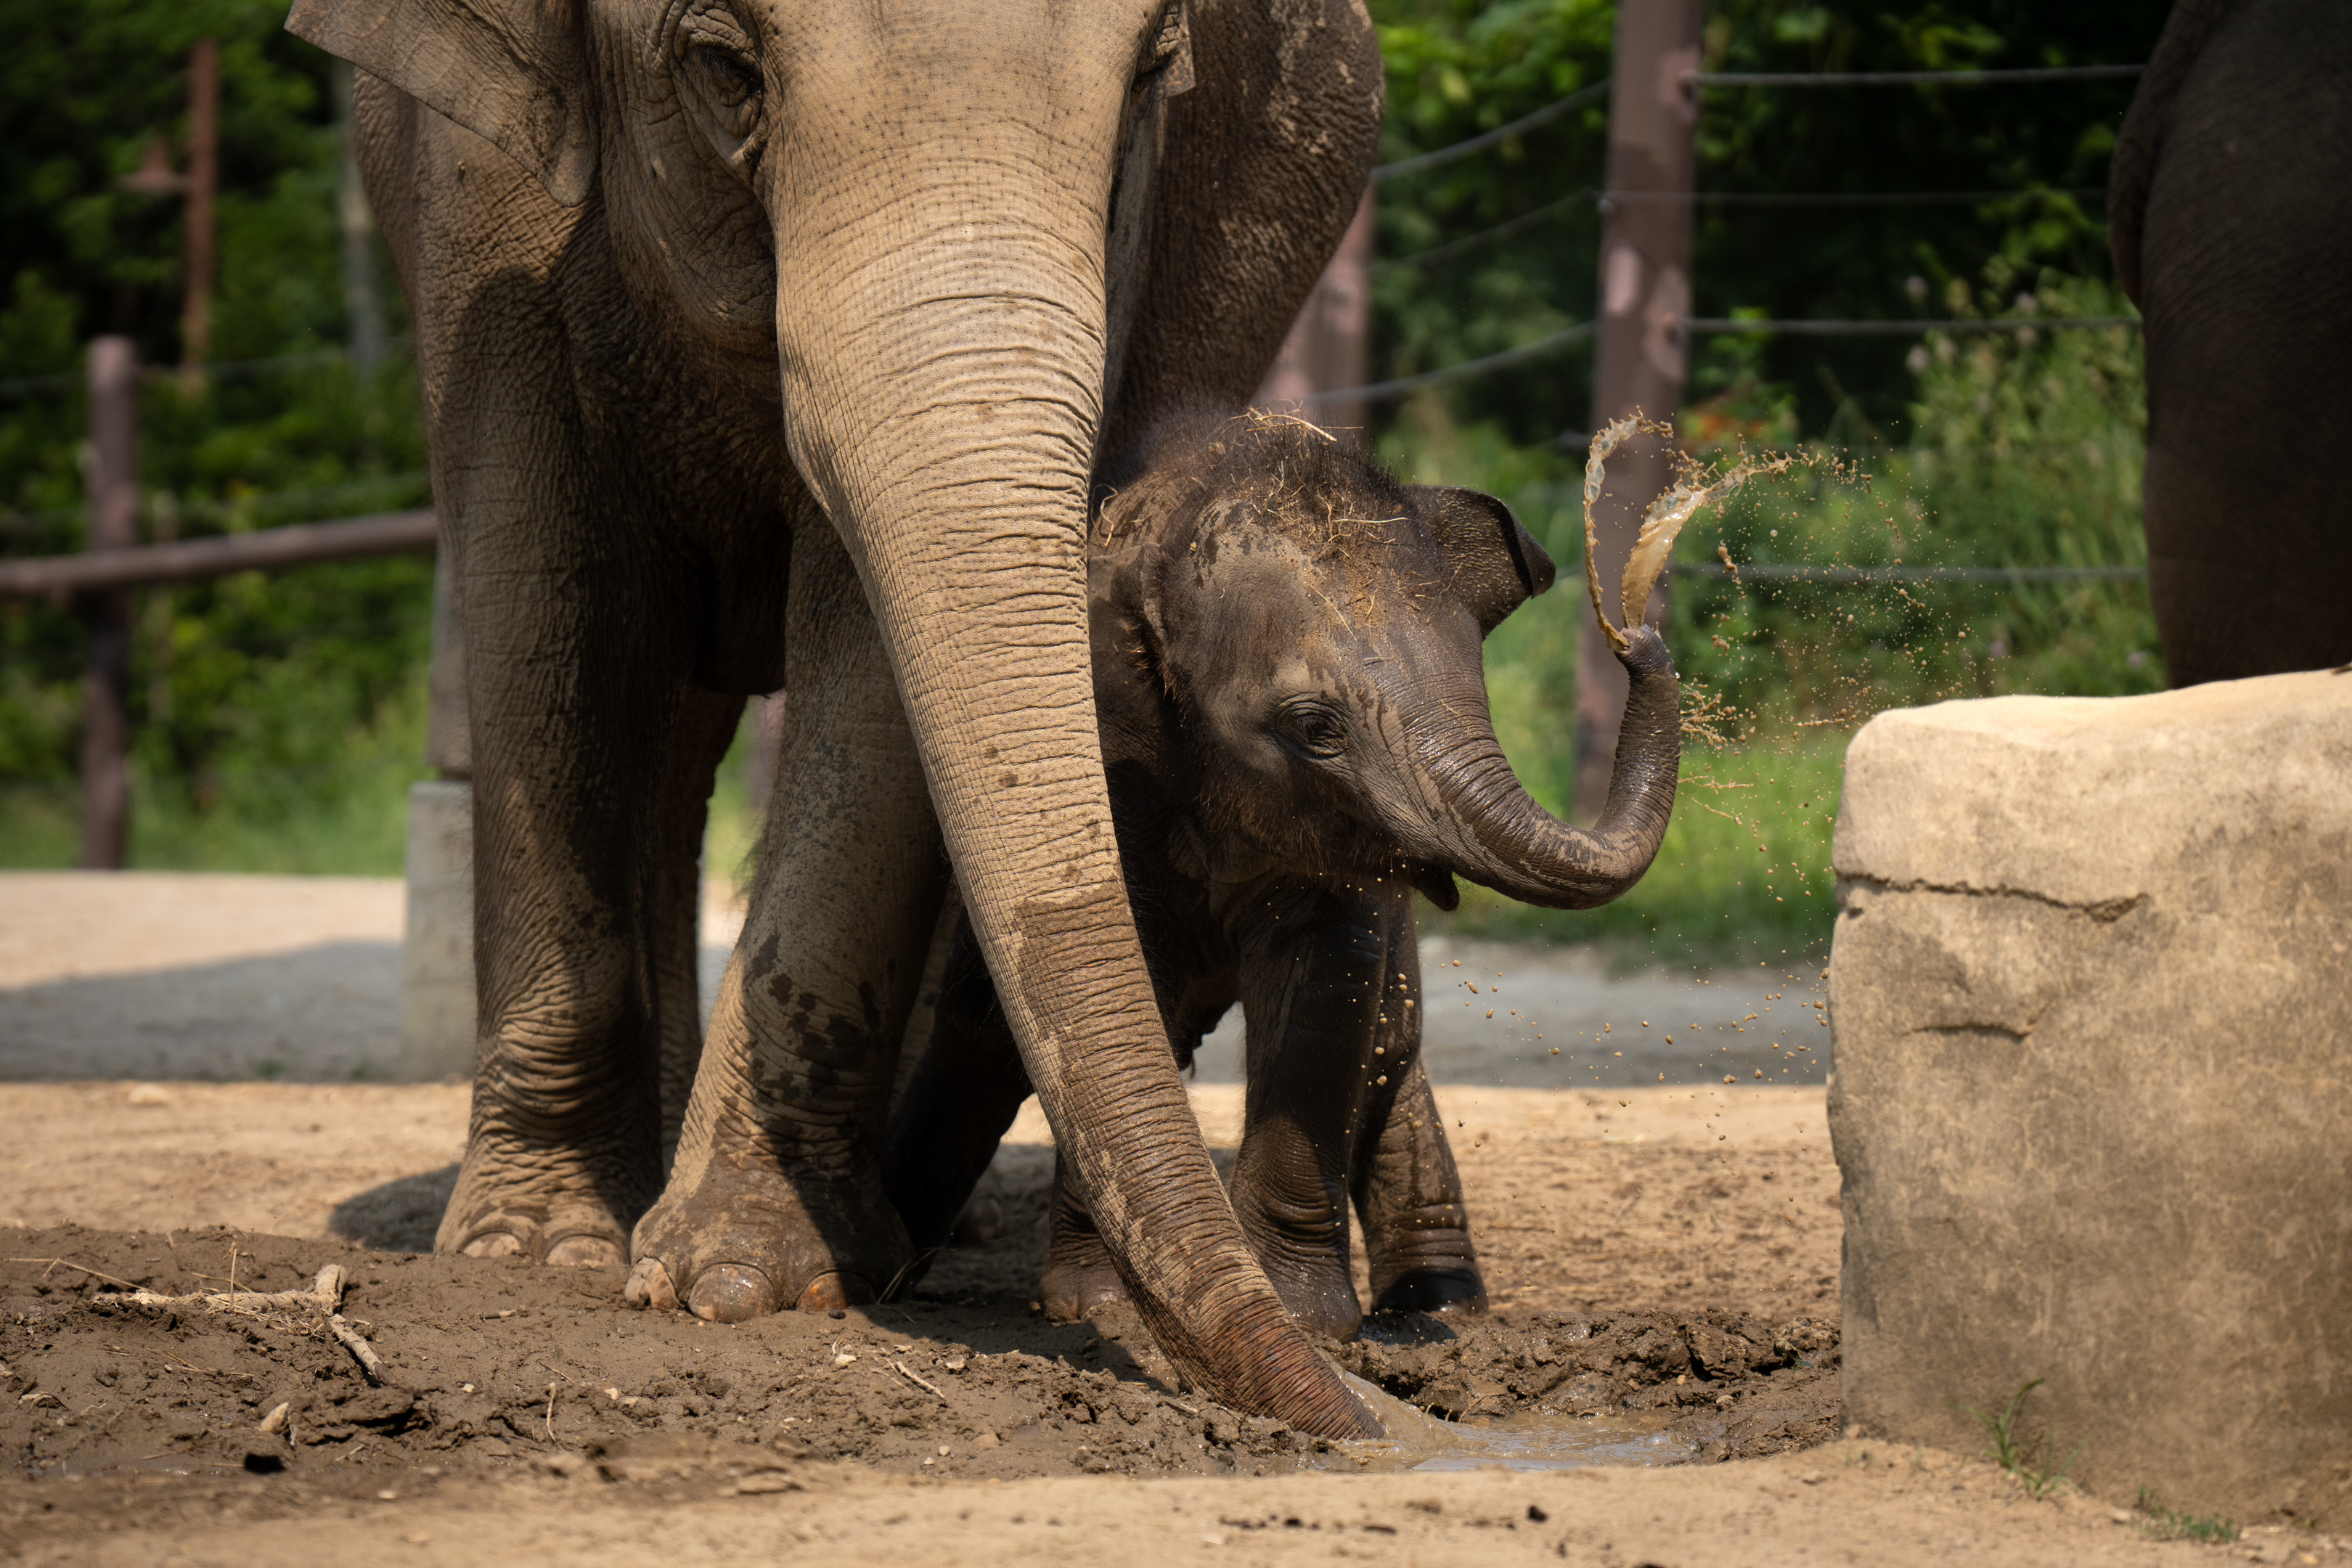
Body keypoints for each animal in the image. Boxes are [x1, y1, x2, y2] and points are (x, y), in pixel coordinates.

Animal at [294, 0, 1405, 1434]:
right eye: (724, 66)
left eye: (1158, 69)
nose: (1364, 1409)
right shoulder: (479, 206)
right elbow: (543, 586)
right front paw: (540, 1251)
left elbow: (865, 638)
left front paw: (745, 1280)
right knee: (668, 735)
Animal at [882, 411, 1684, 1340]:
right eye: (1315, 728)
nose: (1637, 632)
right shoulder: (1118, 786)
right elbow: (1129, 990)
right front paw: (1099, 1309)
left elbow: (1328, 995)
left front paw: (1311, 1322)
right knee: (981, 1027)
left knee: (1392, 1052)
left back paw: (1441, 1308)